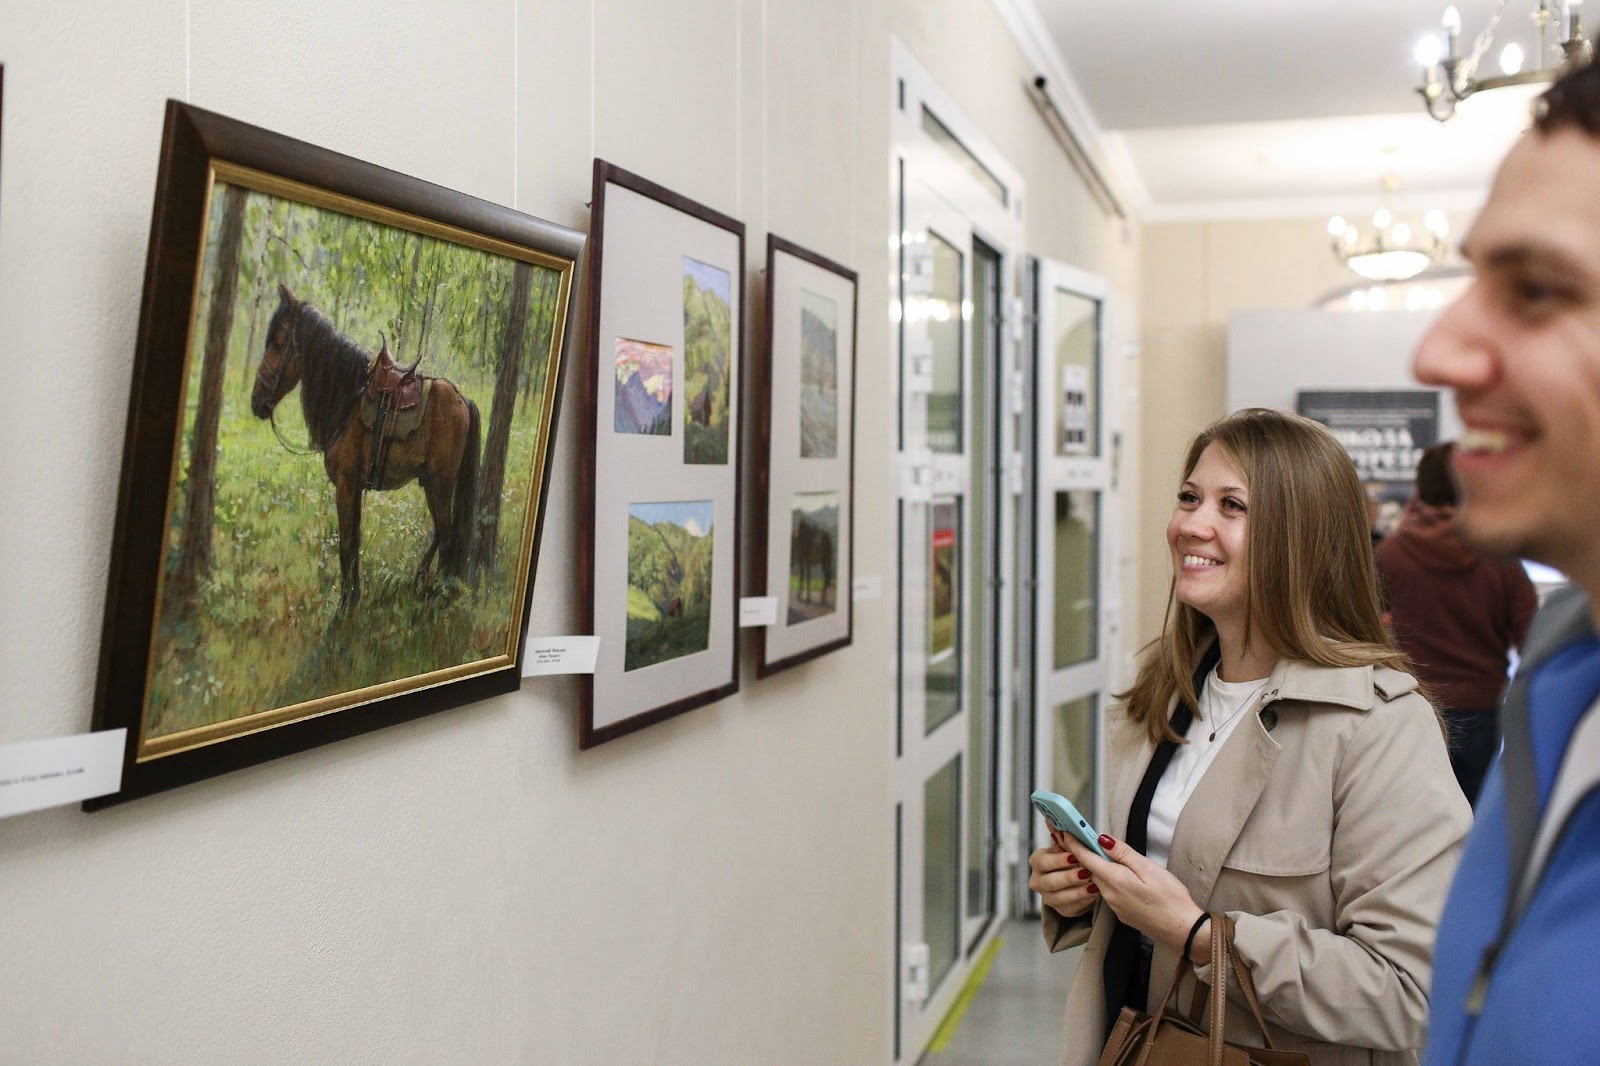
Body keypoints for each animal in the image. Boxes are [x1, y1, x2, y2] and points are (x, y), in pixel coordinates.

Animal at [249, 281, 480, 611]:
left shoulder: (345, 485)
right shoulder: (355, 487)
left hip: (440, 483)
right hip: (432, 484)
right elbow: (355, 540)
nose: (257, 401)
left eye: (278, 344)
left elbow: (346, 544)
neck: (349, 397)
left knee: (448, 537)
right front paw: (354, 596)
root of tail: (463, 400)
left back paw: (435, 598)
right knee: (441, 533)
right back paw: (422, 582)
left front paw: (345, 605)